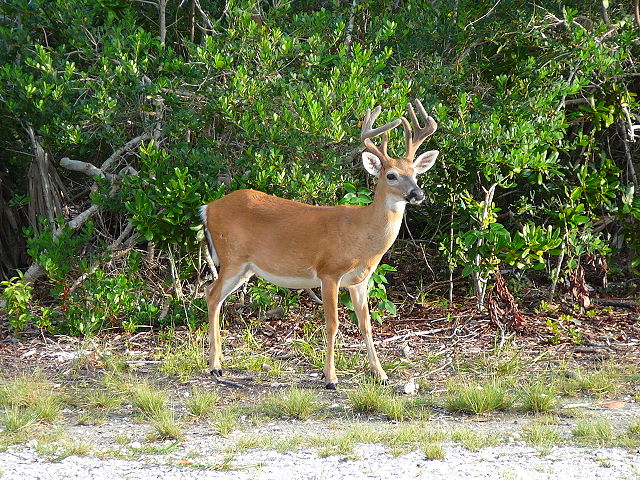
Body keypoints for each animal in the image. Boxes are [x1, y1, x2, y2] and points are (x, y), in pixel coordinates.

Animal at [200, 100, 439, 389]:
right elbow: (332, 323)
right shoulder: (329, 272)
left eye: (415, 174)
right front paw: (331, 377)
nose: (418, 194)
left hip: (245, 267)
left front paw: (380, 374)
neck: (361, 235)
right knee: (212, 294)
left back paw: (219, 363)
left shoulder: (360, 280)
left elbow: (366, 324)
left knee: (213, 295)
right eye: (391, 175)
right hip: (232, 256)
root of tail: (207, 208)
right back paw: (215, 367)